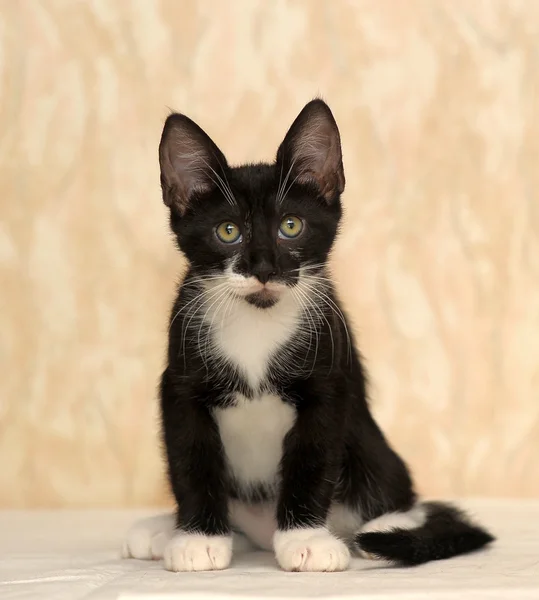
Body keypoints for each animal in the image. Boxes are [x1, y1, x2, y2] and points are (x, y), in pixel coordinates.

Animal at [122, 99, 494, 572]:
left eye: (292, 226)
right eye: (228, 231)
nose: (264, 267)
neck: (256, 322)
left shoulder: (329, 383)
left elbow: (312, 459)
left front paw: (306, 539)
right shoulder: (180, 384)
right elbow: (190, 460)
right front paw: (197, 539)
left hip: (370, 445)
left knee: (399, 494)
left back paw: (386, 527)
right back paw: (164, 530)